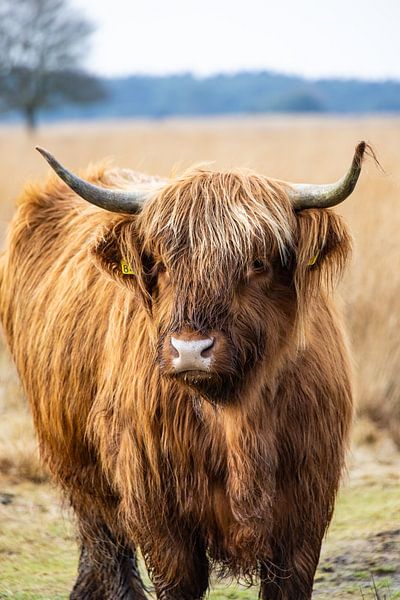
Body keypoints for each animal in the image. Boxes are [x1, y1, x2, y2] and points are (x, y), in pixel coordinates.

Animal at [0, 143, 368, 596]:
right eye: (158, 262)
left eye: (258, 262)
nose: (190, 350)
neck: (235, 417)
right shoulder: (161, 512)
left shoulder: (304, 510)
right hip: (76, 462)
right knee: (106, 544)